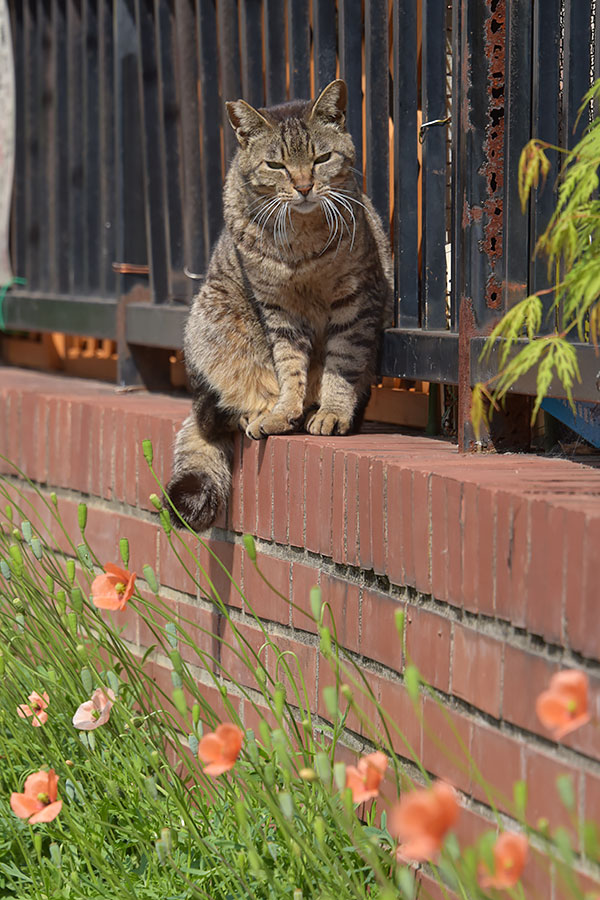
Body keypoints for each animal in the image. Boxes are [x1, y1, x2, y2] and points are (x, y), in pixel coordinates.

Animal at [168, 81, 394, 532]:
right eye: (276, 165)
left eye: (321, 158)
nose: (305, 186)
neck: (303, 240)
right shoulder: (279, 311)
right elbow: (288, 367)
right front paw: (284, 409)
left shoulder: (356, 300)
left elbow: (343, 363)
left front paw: (333, 411)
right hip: (210, 329)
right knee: (216, 411)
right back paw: (259, 414)